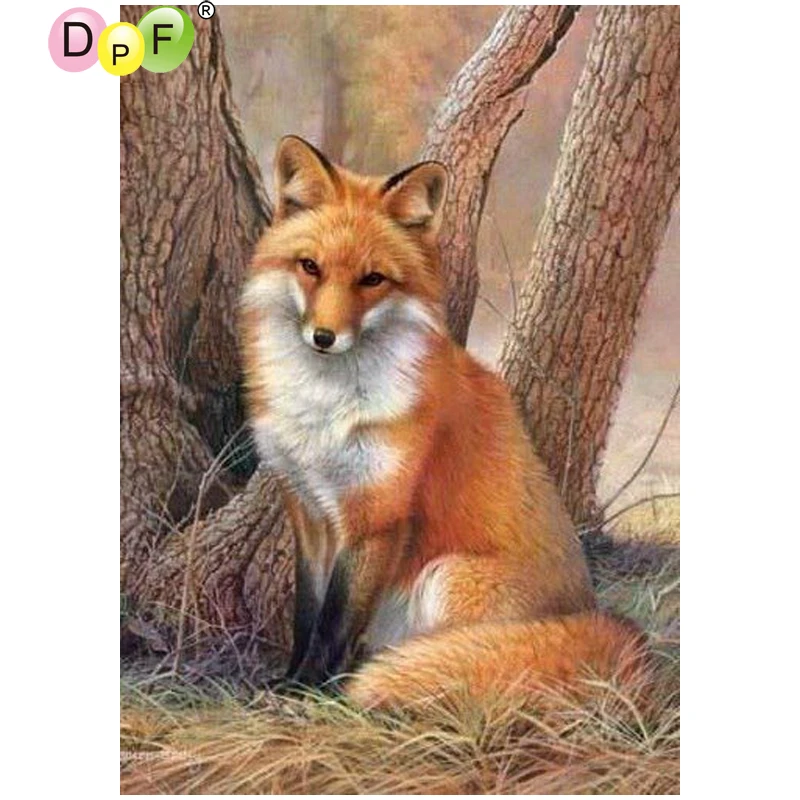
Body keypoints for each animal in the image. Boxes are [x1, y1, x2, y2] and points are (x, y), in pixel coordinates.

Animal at [240, 135, 650, 710]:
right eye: (310, 267)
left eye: (372, 279)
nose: (323, 337)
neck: (324, 409)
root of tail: (592, 613)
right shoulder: (309, 511)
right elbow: (307, 615)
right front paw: (290, 679)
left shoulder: (377, 516)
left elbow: (334, 622)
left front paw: (309, 693)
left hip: (446, 577)